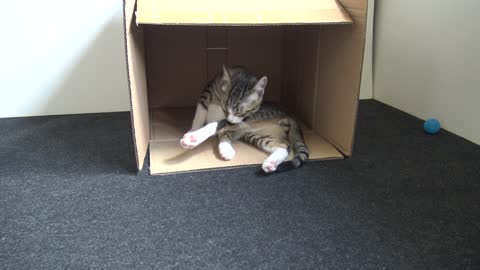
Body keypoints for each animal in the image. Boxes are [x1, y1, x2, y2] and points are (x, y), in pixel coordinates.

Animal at [179, 65, 308, 173]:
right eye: (225, 107)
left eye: (241, 112)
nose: (230, 119)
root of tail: (288, 114)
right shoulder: (207, 91)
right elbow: (200, 112)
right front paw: (194, 128)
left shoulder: (241, 119)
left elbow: (223, 128)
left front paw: (193, 137)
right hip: (256, 135)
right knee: (284, 146)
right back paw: (271, 162)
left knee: (285, 146)